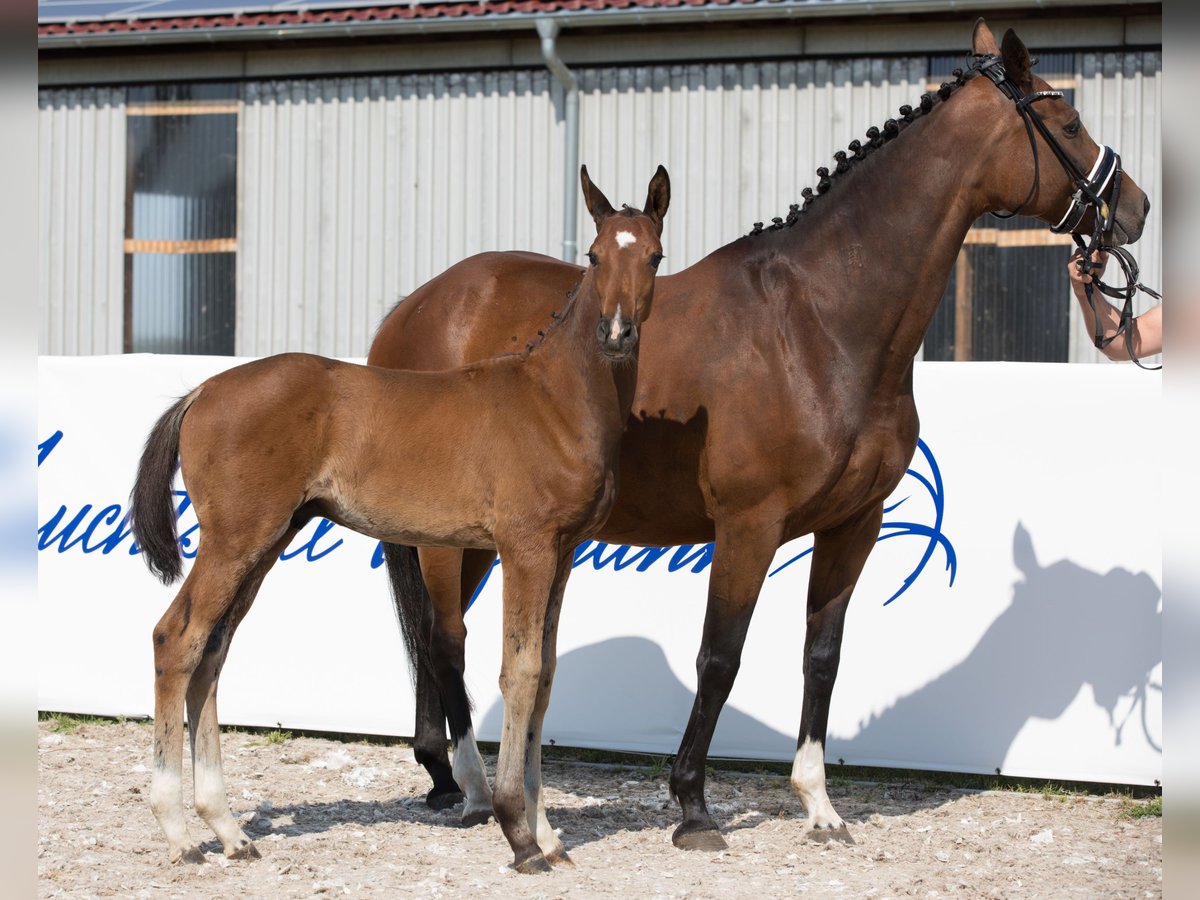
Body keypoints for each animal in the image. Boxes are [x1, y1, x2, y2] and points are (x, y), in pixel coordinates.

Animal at [132, 168, 676, 873]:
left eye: (655, 257)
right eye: (593, 256)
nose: (616, 333)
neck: (552, 399)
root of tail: (201, 392)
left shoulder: (564, 552)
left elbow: (548, 675)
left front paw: (549, 834)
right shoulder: (525, 546)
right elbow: (521, 671)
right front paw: (520, 833)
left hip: (267, 539)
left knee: (213, 651)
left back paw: (227, 828)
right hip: (235, 540)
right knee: (178, 639)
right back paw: (178, 830)